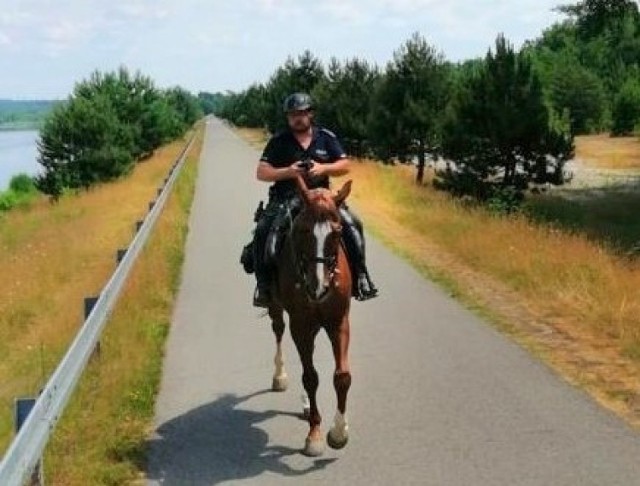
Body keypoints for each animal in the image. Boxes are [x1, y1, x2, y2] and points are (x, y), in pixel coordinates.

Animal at [266, 177, 352, 458]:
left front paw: (339, 433)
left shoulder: (339, 322)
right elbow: (311, 377)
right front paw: (314, 435)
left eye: (337, 232)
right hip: (277, 310)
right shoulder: (300, 326)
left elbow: (342, 376)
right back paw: (280, 376)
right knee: (278, 331)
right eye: (303, 230)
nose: (319, 287)